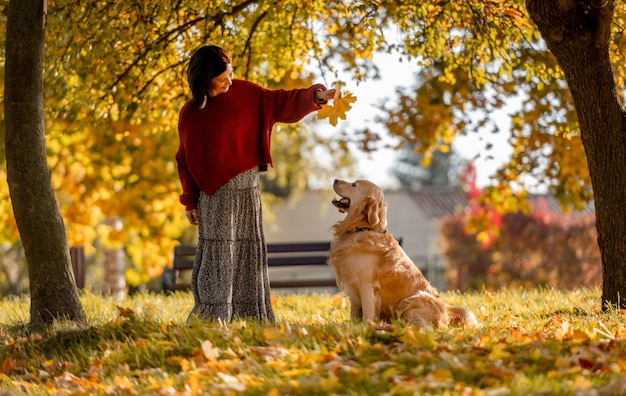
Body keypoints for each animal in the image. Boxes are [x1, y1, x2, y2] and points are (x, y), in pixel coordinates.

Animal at [326, 179, 478, 328]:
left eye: (354, 185)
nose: (335, 180)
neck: (363, 228)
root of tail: (446, 310)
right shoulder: (352, 286)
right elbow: (354, 315)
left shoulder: (366, 285)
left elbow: (368, 315)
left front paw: (365, 328)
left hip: (412, 300)